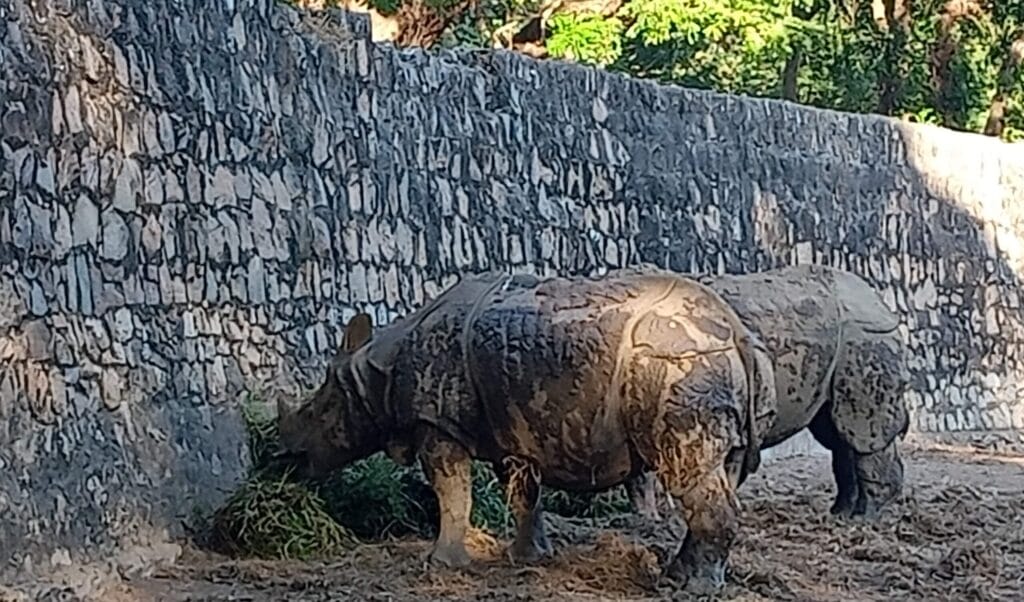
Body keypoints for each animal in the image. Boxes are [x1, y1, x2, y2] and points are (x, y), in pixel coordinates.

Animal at [276, 268, 777, 592]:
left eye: (318, 411)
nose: (283, 457)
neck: (375, 371)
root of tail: (737, 331)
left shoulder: (436, 423)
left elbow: (452, 493)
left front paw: (441, 564)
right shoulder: (510, 429)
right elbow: (522, 495)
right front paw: (528, 558)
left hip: (681, 365)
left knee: (689, 473)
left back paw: (691, 589)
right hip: (713, 367)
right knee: (719, 470)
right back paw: (679, 577)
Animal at [626, 264, 910, 520]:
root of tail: (880, 302)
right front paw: (645, 520)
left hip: (865, 337)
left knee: (859, 428)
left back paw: (863, 519)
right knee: (835, 430)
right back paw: (839, 515)